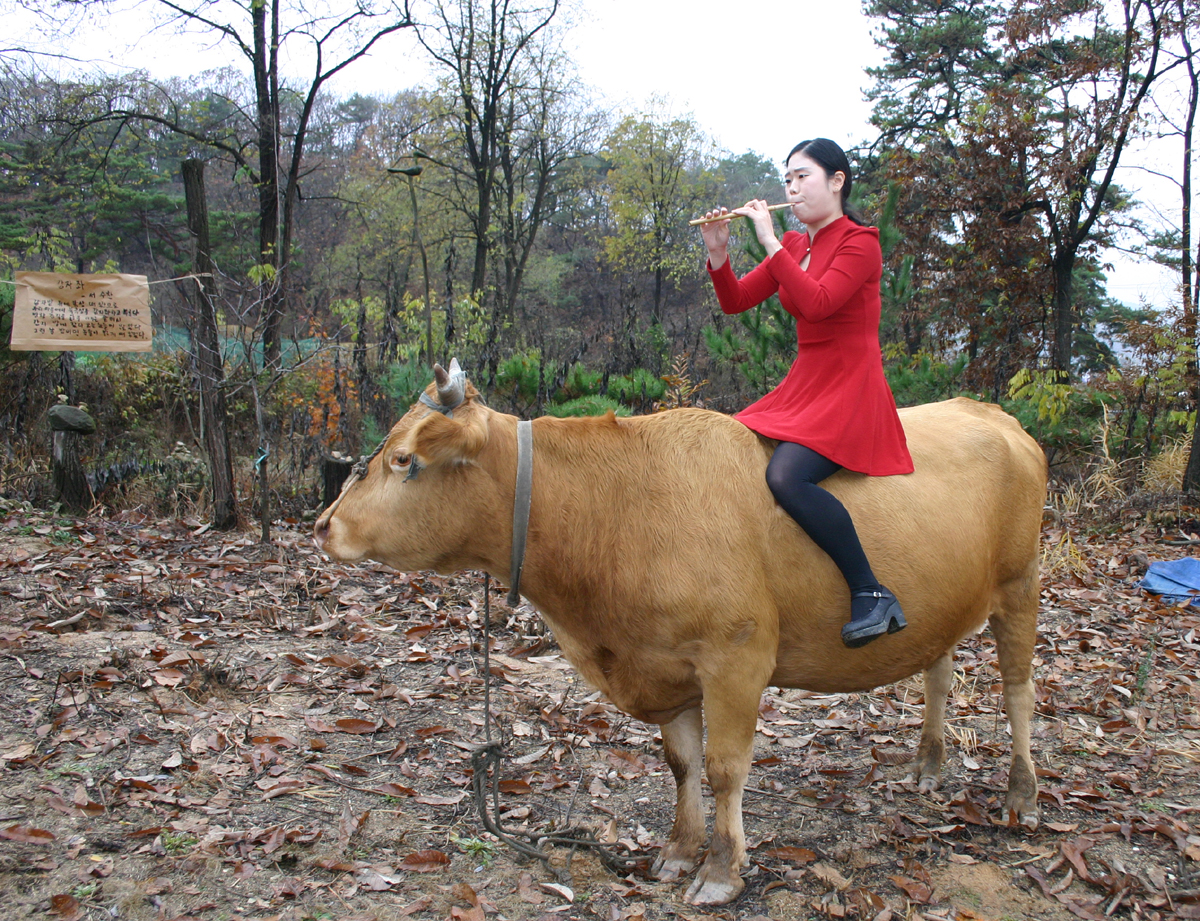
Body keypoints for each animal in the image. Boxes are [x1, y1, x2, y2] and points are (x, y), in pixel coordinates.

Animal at [314, 362, 1046, 906]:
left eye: (403, 459)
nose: (324, 525)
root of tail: (992, 415)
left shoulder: (736, 658)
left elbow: (724, 768)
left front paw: (721, 870)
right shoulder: (664, 665)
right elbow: (682, 764)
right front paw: (677, 851)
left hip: (1020, 586)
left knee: (1018, 690)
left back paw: (1021, 793)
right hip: (945, 601)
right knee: (939, 670)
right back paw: (928, 765)